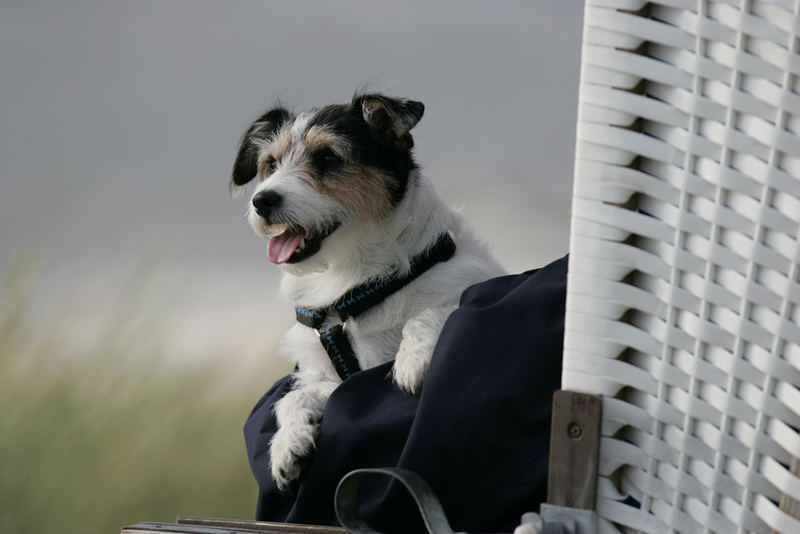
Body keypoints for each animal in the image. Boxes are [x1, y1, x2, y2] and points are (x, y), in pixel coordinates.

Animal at [233, 92, 506, 490]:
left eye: (328, 158)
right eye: (270, 163)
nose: (262, 201)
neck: (352, 285)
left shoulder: (472, 284)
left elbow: (433, 310)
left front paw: (413, 360)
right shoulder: (333, 381)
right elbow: (294, 399)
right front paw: (287, 444)